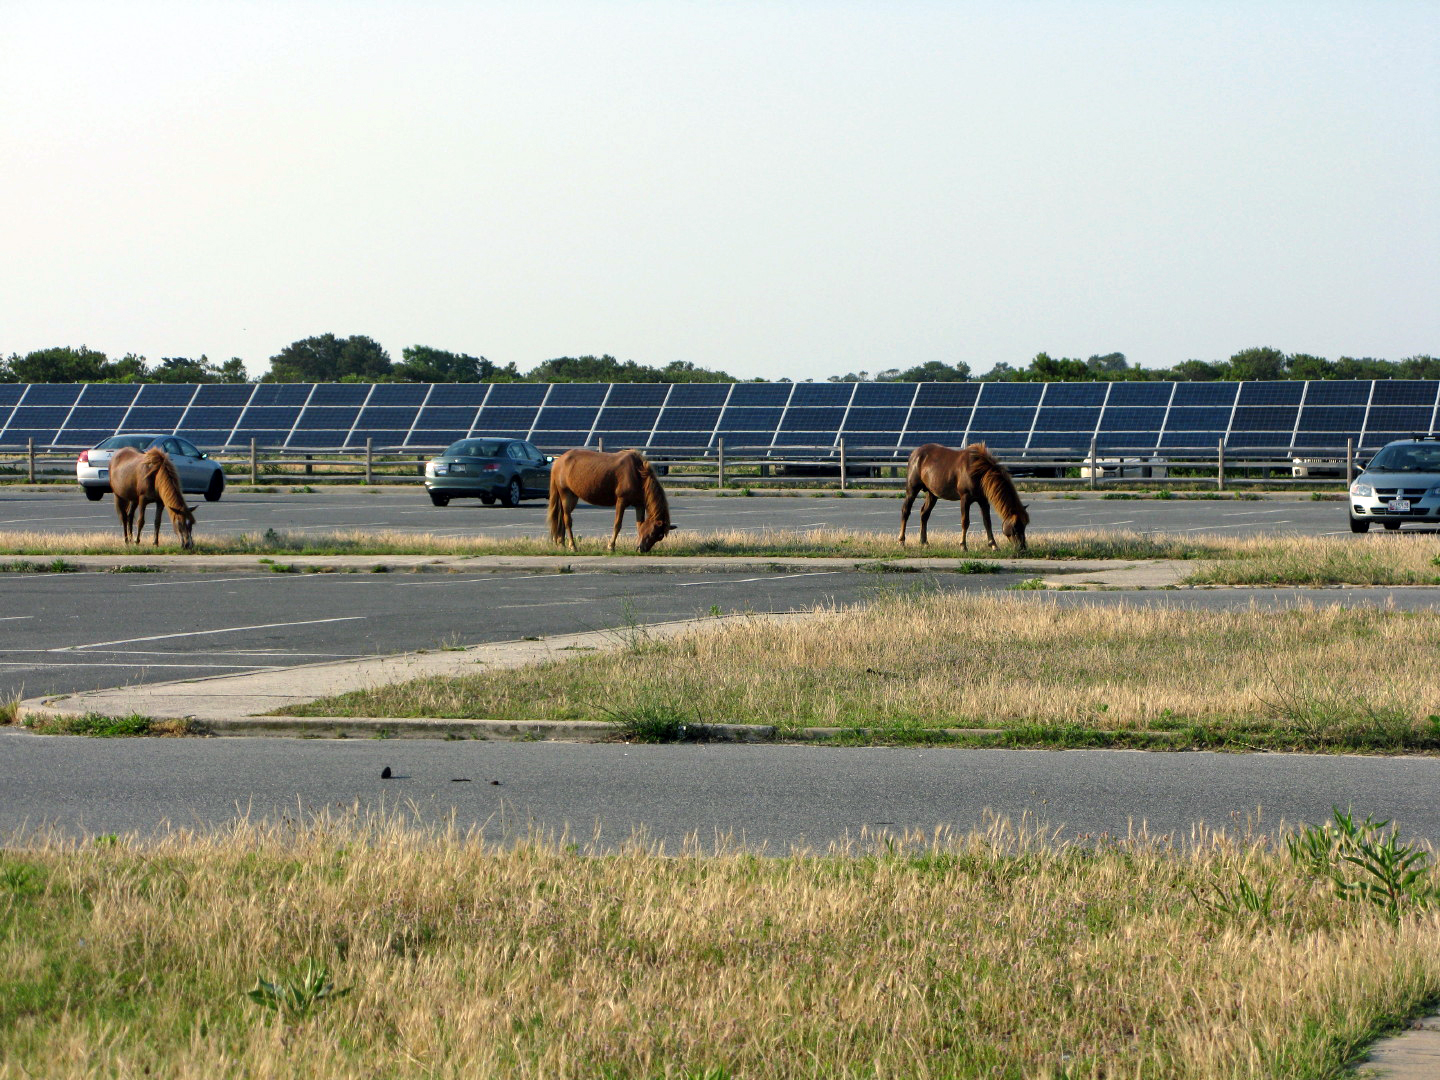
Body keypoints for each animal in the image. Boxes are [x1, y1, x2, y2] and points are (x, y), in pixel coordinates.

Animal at [548, 448, 676, 553]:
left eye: (659, 537)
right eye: (654, 532)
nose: (642, 549)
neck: (637, 473)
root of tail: (559, 461)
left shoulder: (639, 504)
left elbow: (639, 525)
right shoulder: (621, 501)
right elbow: (617, 524)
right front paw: (611, 546)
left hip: (573, 497)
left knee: (562, 518)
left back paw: (562, 543)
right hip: (566, 494)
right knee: (567, 520)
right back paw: (573, 546)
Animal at [898, 442, 1029, 551]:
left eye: (1024, 525)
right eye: (1016, 526)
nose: (1022, 547)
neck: (979, 471)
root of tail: (915, 453)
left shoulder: (983, 500)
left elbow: (987, 522)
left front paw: (994, 545)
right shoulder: (965, 498)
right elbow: (965, 521)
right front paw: (963, 546)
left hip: (932, 493)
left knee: (924, 514)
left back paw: (924, 542)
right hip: (912, 489)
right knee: (906, 511)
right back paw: (901, 541)